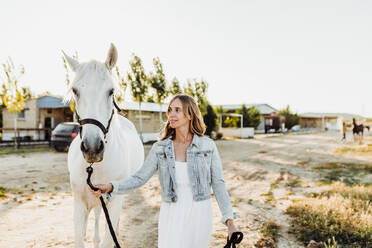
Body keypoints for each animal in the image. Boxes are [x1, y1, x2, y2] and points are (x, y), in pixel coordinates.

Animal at [62, 44, 144, 248]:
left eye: (111, 91)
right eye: (75, 91)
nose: (92, 148)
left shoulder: (114, 203)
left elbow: (109, 236)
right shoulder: (79, 204)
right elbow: (79, 238)